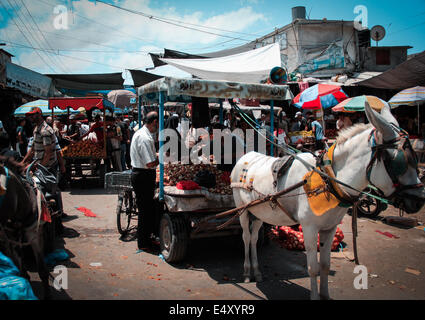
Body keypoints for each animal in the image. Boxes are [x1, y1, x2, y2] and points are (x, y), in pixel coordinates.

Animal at [232, 102, 424, 300]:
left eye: (415, 157)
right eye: (396, 161)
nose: (419, 199)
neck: (328, 181)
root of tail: (246, 156)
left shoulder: (329, 228)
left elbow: (325, 266)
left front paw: (324, 294)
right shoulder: (309, 228)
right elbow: (313, 268)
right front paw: (315, 296)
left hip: (258, 212)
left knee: (254, 238)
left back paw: (256, 271)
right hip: (242, 210)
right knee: (246, 237)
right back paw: (247, 272)